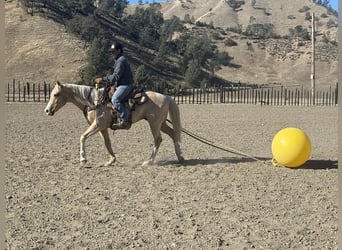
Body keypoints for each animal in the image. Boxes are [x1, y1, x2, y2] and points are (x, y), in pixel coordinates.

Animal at [45, 81, 186, 166]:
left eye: (56, 94)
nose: (47, 110)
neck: (94, 102)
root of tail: (166, 96)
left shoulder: (97, 125)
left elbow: (82, 137)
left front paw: (83, 159)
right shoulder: (102, 128)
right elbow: (107, 142)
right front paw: (111, 160)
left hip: (154, 123)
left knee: (158, 139)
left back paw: (149, 161)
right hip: (161, 123)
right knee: (173, 134)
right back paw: (180, 157)